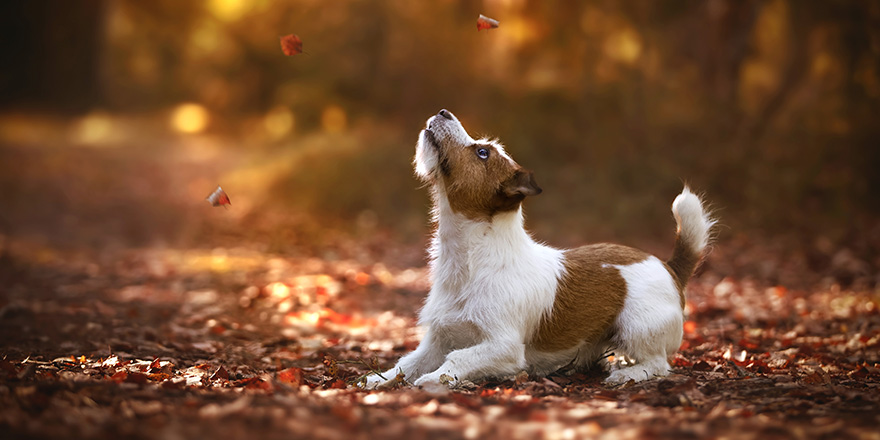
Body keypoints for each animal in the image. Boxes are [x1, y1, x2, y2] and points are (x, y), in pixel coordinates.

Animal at [364, 109, 716, 388]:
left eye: (482, 153)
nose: (443, 111)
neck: (471, 257)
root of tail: (669, 266)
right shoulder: (438, 340)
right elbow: (406, 363)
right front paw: (377, 380)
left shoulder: (503, 347)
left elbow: (458, 359)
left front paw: (435, 379)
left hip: (637, 326)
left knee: (658, 364)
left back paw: (627, 374)